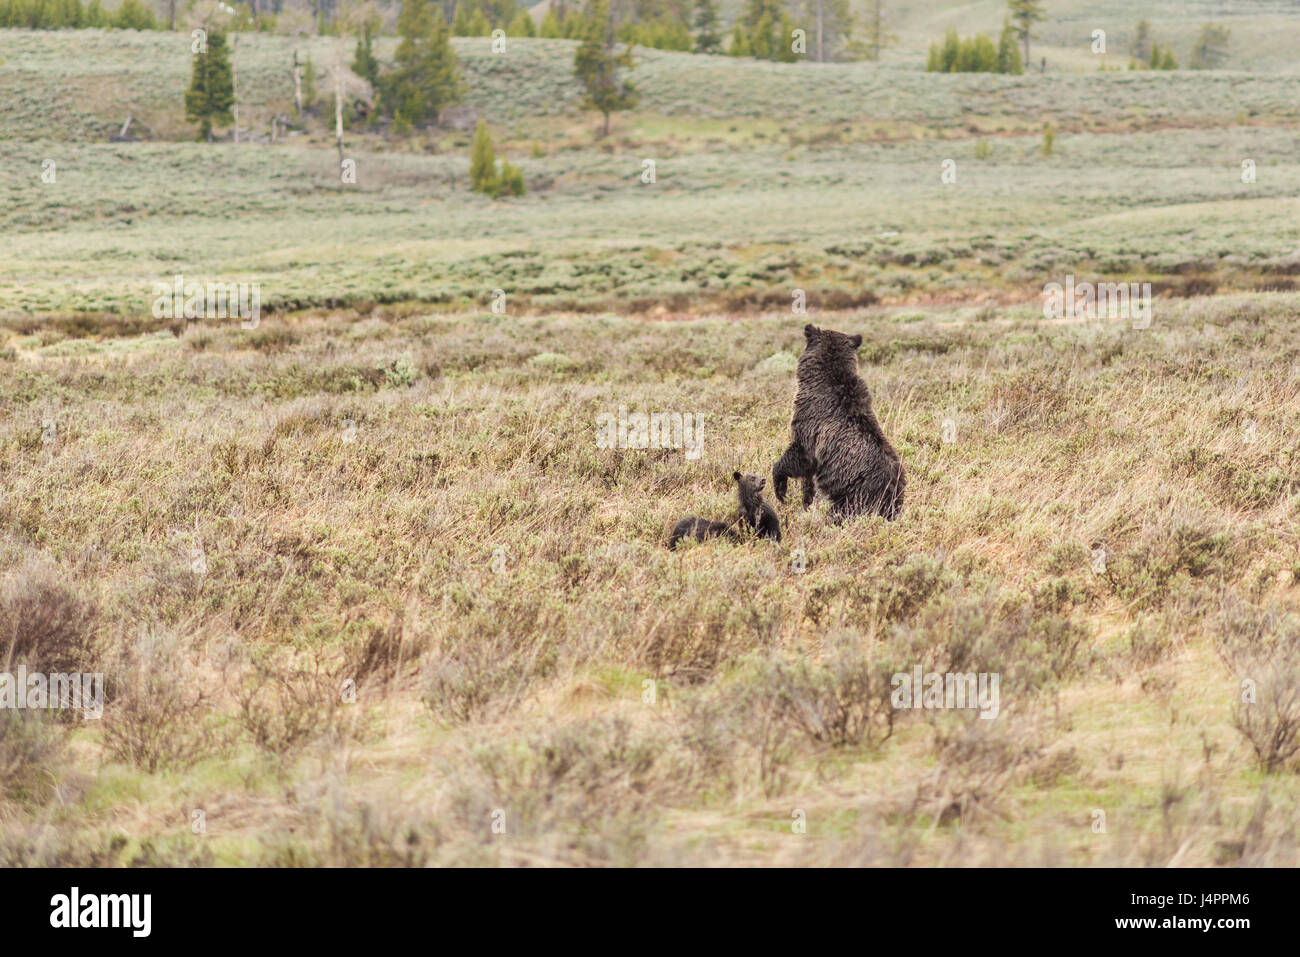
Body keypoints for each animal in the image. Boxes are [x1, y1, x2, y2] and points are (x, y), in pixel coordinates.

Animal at [772, 324, 905, 523]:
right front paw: (806, 501)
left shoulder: (810, 426)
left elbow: (799, 457)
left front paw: (781, 489)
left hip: (854, 495)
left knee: (841, 511)